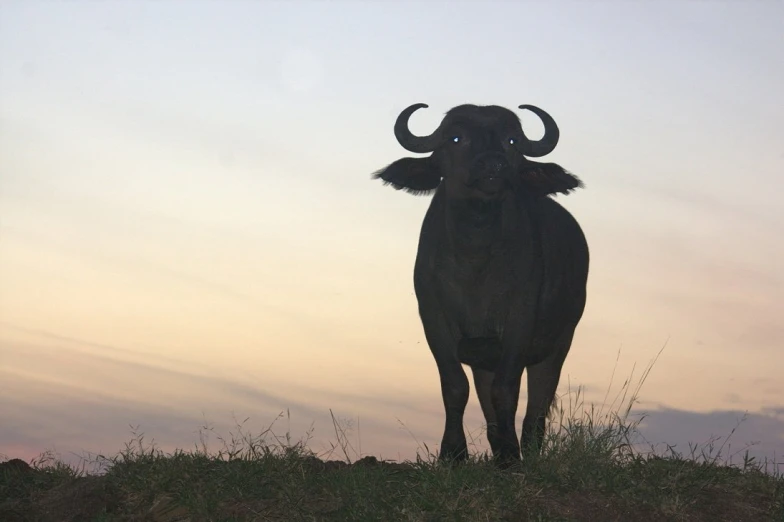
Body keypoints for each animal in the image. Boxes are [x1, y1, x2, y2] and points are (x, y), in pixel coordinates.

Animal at [374, 103, 588, 466]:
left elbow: (506, 390)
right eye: (455, 138)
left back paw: (524, 450)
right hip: (484, 357)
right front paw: (453, 453)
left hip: (558, 344)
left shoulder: (519, 323)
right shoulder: (434, 319)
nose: (493, 165)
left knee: (536, 408)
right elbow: (455, 387)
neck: (474, 255)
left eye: (512, 140)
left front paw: (510, 456)